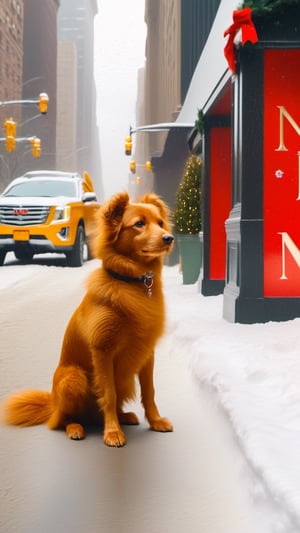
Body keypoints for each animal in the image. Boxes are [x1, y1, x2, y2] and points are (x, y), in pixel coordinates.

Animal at [1, 191, 173, 444]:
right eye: (139, 224)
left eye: (160, 223)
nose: (169, 238)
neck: (130, 283)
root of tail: (53, 403)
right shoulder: (103, 351)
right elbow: (109, 394)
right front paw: (112, 432)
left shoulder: (146, 352)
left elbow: (149, 391)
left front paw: (155, 421)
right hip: (74, 378)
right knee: (60, 421)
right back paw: (75, 427)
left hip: (124, 379)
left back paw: (123, 416)